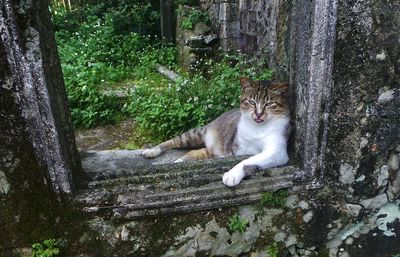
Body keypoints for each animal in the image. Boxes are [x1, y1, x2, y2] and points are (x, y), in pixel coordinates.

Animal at [142, 76, 290, 186]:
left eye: (269, 104)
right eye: (252, 102)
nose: (258, 114)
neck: (257, 128)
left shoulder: (277, 151)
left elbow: (248, 160)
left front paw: (232, 175)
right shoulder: (237, 148)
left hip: (210, 149)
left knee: (197, 152)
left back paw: (180, 161)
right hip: (196, 134)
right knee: (174, 141)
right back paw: (151, 151)